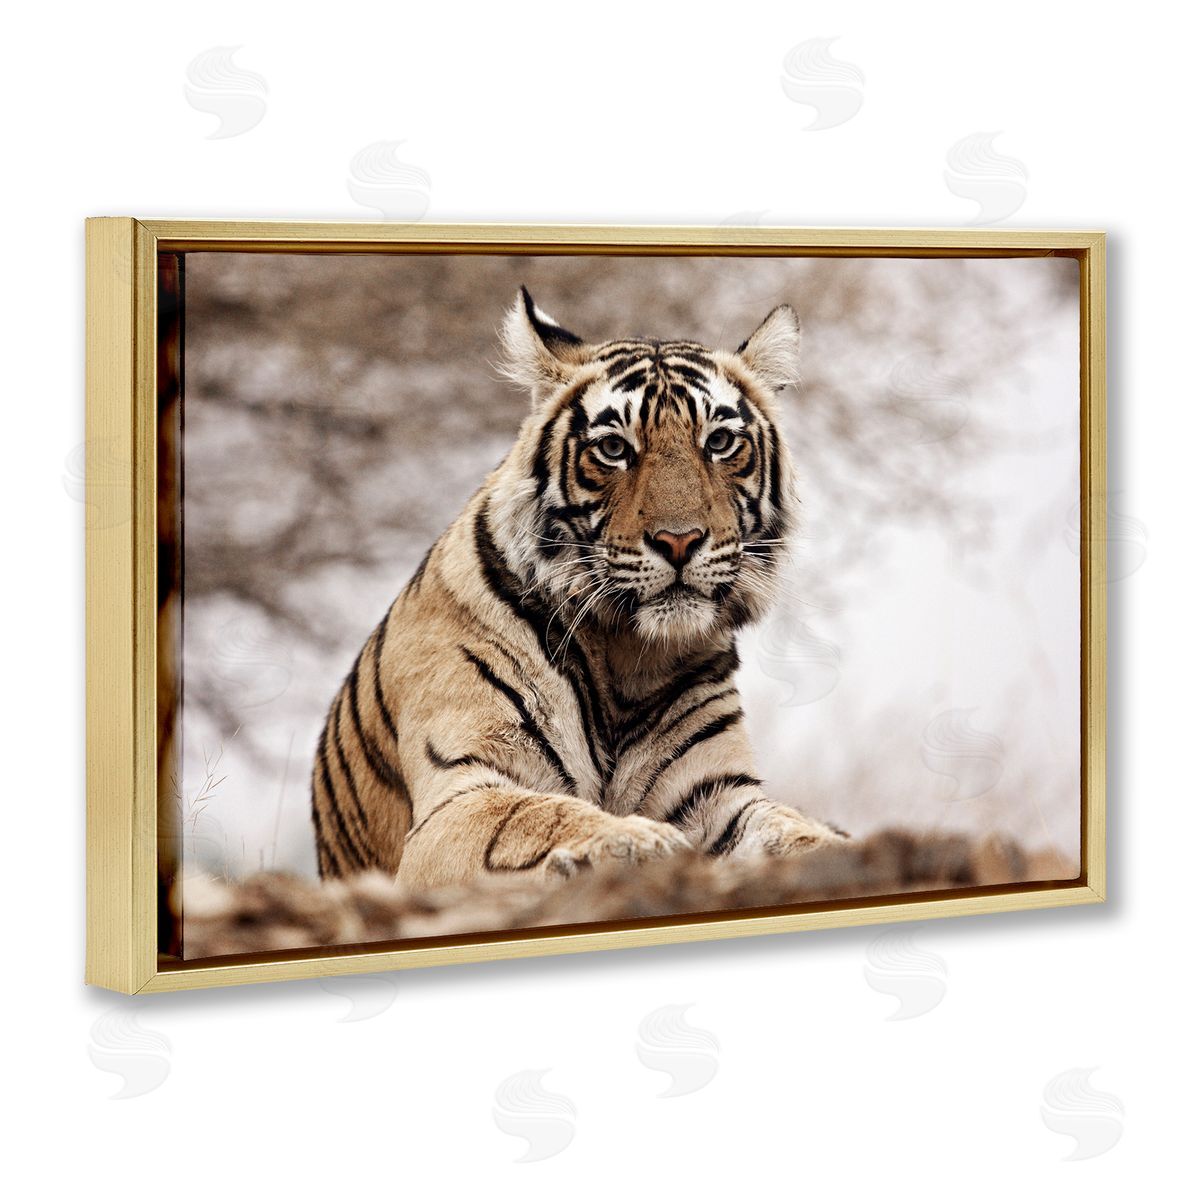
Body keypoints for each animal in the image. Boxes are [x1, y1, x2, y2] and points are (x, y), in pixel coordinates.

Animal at [310, 288, 847, 891]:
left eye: (720, 442)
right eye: (613, 448)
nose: (679, 540)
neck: (628, 656)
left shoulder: (716, 793)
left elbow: (788, 829)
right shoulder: (460, 795)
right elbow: (538, 815)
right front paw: (636, 840)